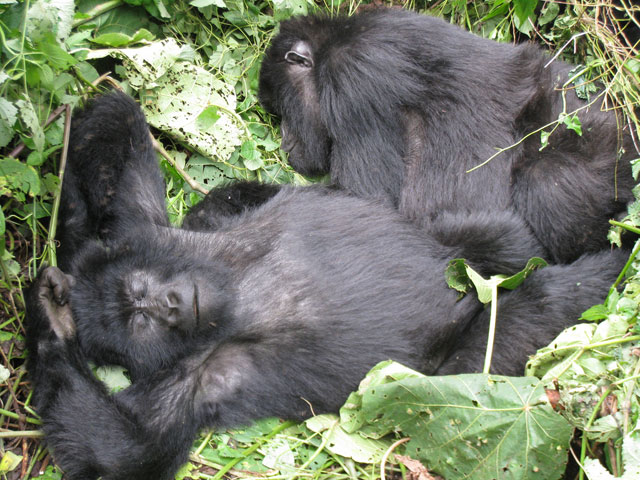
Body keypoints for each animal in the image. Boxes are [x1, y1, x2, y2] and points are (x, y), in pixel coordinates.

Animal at [26, 94, 632, 480]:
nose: (171, 306)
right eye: (139, 321)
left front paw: (68, 233)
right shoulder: (200, 376)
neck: (232, 289)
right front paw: (51, 327)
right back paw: (612, 267)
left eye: (141, 295)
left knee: (500, 242)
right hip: (456, 366)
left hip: (458, 246)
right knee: (532, 312)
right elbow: (126, 453)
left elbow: (115, 125)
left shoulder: (155, 236)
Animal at [258, 6, 636, 262]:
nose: (286, 141)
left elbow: (366, 202)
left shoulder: (353, 75)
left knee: (546, 181)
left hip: (598, 139)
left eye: (283, 111)